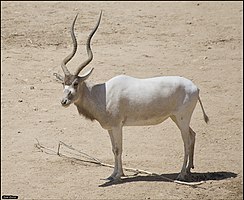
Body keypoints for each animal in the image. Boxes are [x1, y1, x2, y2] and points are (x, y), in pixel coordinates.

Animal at [55, 11, 208, 182]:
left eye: (75, 83)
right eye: (63, 83)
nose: (64, 101)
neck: (102, 94)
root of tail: (195, 87)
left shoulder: (117, 126)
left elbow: (118, 149)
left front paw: (118, 176)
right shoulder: (110, 128)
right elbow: (113, 149)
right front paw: (114, 174)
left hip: (182, 118)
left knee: (186, 141)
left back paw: (181, 174)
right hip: (176, 117)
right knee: (192, 135)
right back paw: (189, 170)